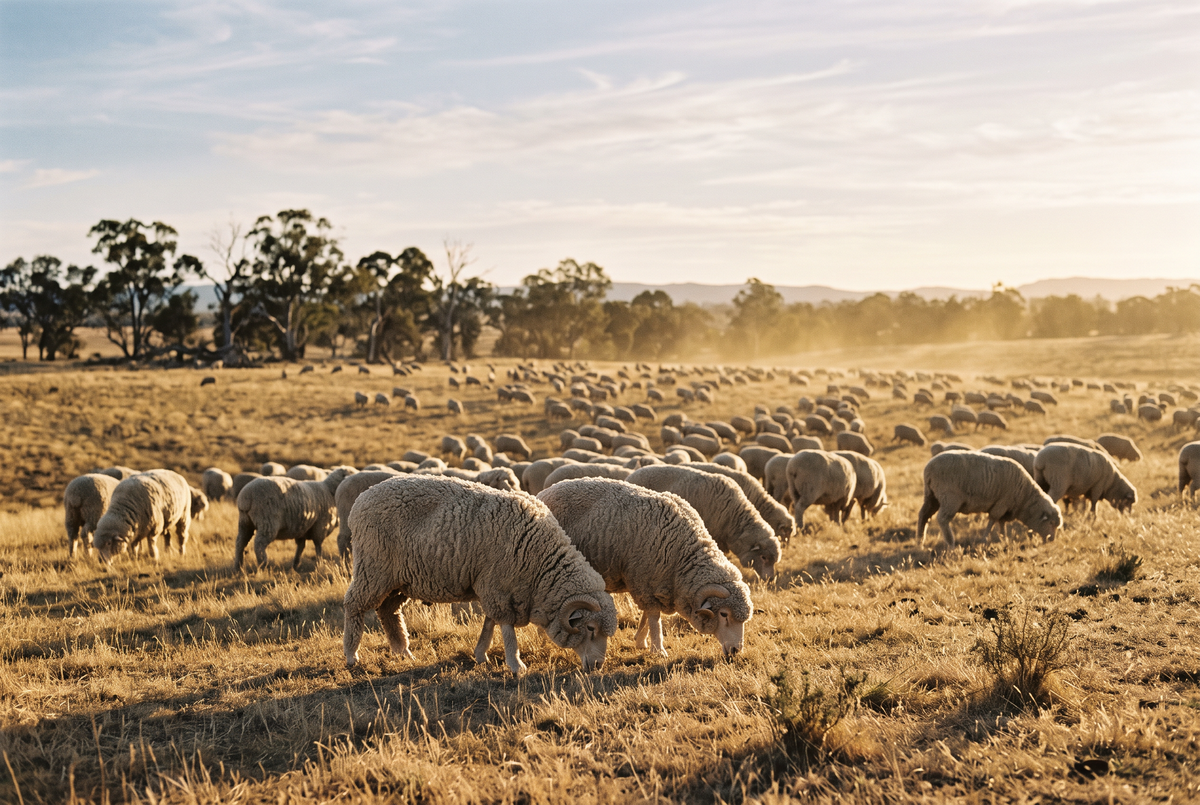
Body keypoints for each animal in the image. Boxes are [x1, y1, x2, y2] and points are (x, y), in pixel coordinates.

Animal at [342, 475, 617, 675]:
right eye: (590, 628)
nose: (598, 666)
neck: (540, 563)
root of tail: (362, 498)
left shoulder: (493, 586)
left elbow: (489, 623)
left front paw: (481, 655)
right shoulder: (498, 586)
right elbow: (506, 627)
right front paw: (516, 664)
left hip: (398, 579)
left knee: (388, 611)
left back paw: (404, 653)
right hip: (373, 568)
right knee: (354, 605)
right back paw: (351, 655)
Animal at [538, 479, 753, 657]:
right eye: (724, 614)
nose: (736, 650)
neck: (682, 555)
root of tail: (544, 492)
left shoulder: (652, 583)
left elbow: (647, 616)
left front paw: (641, 641)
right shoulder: (644, 581)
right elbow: (654, 619)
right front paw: (658, 650)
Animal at [917, 451, 1062, 546]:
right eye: (1051, 523)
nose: (1052, 540)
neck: (1025, 498)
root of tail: (928, 468)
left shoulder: (1006, 508)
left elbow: (1001, 522)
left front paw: (1003, 538)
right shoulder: (1002, 503)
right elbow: (992, 520)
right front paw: (984, 539)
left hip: (931, 496)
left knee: (923, 515)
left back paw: (920, 540)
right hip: (950, 498)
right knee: (942, 519)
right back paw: (950, 542)